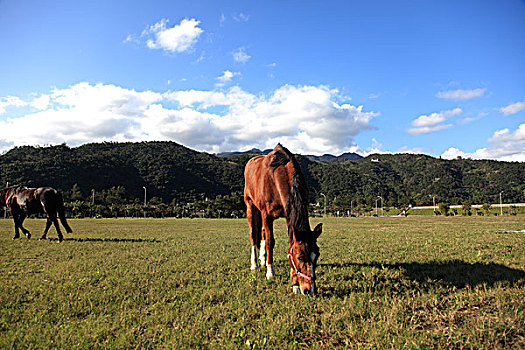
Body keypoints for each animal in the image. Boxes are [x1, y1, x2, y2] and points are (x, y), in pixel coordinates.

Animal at [244, 144, 322, 294]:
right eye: (299, 257)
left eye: (317, 255)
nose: (309, 289)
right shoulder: (266, 215)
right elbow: (270, 242)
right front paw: (270, 272)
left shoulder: (288, 213)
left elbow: (290, 241)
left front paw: (295, 284)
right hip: (250, 205)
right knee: (253, 234)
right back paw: (255, 264)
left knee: (262, 232)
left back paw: (262, 259)